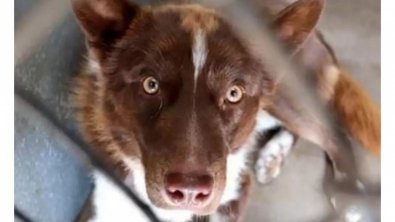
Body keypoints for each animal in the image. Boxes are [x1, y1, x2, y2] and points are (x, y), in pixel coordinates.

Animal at [72, 0, 382, 221]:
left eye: (234, 93)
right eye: (151, 84)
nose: (189, 191)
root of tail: (317, 35)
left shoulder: (234, 193)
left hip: (285, 95)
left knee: (332, 135)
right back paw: (273, 156)